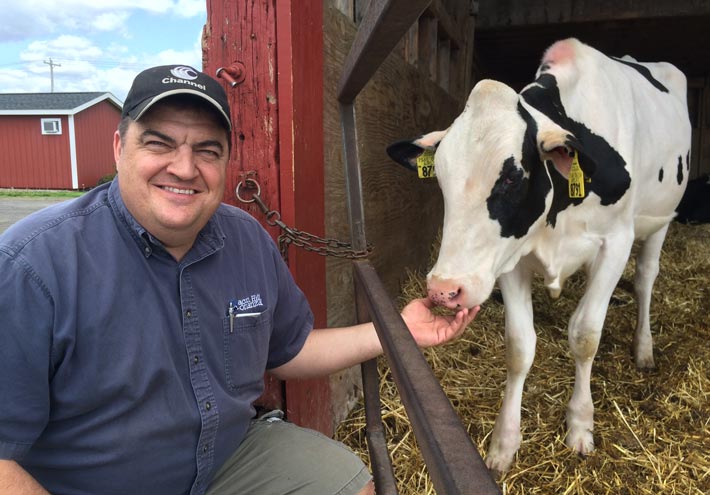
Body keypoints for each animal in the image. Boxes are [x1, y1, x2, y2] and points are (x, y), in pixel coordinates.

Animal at [386, 38, 692, 472]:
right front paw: (504, 443)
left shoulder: (615, 243)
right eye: (440, 177)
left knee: (646, 278)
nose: (445, 289)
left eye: (513, 176)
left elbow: (585, 335)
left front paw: (580, 424)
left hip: (660, 219)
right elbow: (519, 347)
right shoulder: (509, 257)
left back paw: (644, 348)